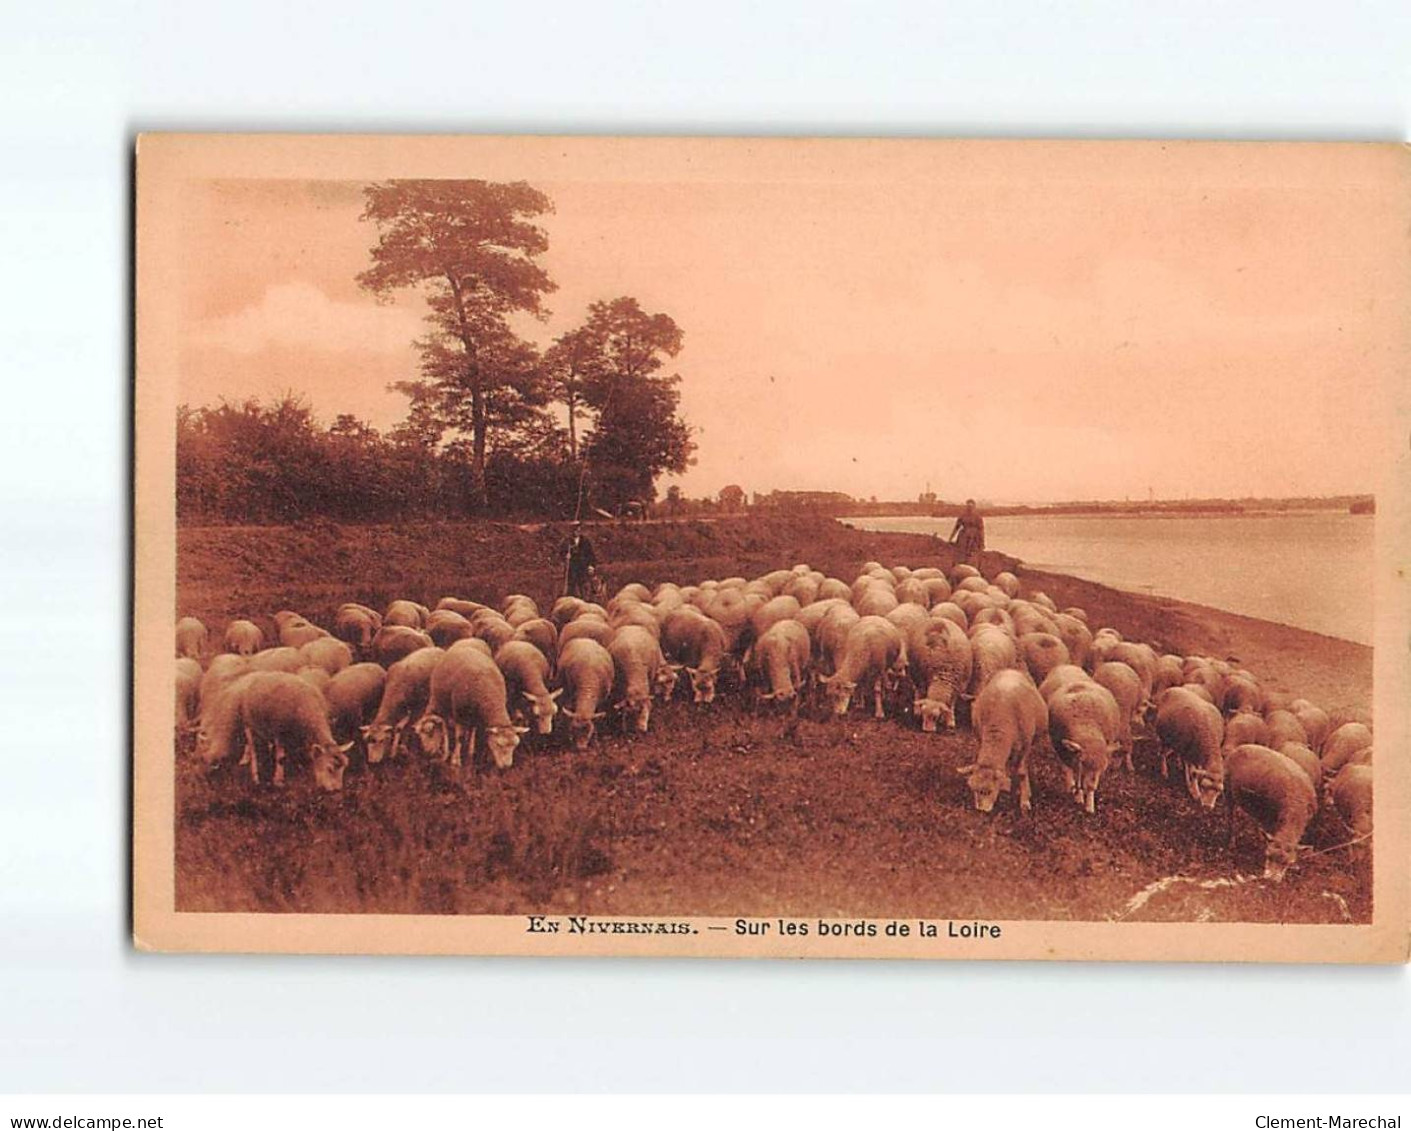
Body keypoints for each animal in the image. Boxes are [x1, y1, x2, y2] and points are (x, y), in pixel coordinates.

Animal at [417, 640, 533, 772]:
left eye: (515, 746)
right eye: (499, 744)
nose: (506, 767)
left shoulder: (476, 716)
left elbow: (473, 732)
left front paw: (471, 753)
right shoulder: (459, 715)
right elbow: (459, 738)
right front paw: (455, 761)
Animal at [959, 671, 1049, 812]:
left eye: (989, 791)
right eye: (973, 789)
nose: (981, 811)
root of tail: (1010, 670)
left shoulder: (1025, 746)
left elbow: (1021, 772)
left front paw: (1024, 802)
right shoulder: (981, 738)